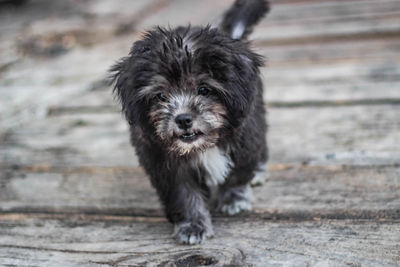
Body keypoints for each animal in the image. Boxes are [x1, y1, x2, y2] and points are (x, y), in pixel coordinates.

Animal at [111, 0, 270, 245]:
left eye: (204, 89)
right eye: (160, 96)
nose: (183, 119)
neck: (202, 146)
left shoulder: (244, 136)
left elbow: (237, 172)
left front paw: (234, 198)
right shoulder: (166, 165)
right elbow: (184, 194)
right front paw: (193, 225)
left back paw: (259, 171)